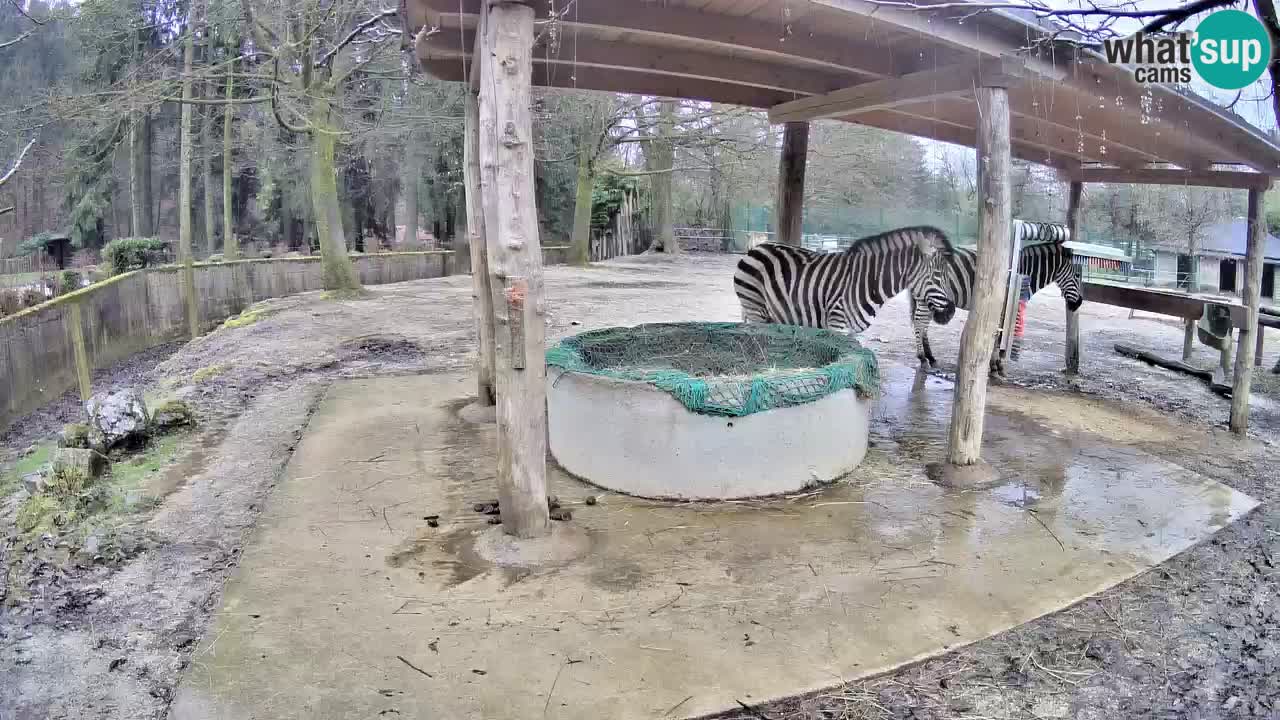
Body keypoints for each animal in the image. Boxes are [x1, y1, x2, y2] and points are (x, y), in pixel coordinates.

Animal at [737, 224, 957, 361]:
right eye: (938, 275)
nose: (951, 312)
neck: (868, 281)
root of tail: (756, 247)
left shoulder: (850, 331)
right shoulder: (837, 325)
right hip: (755, 309)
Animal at [911, 217, 1080, 363]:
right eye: (1078, 276)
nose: (1078, 304)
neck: (1025, 271)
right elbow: (998, 336)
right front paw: (995, 365)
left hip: (932, 299)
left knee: (923, 323)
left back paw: (930, 356)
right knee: (919, 321)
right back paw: (922, 357)